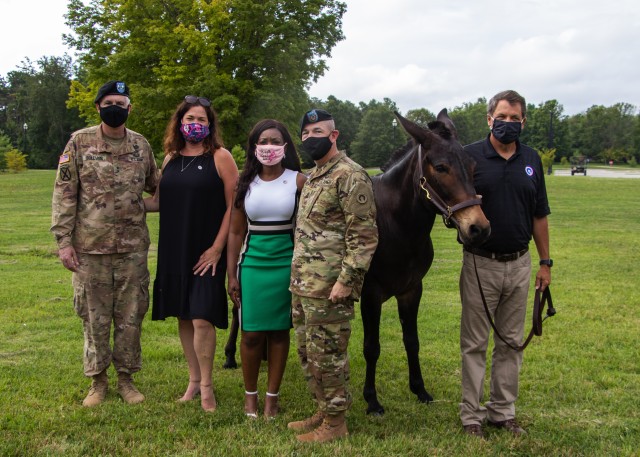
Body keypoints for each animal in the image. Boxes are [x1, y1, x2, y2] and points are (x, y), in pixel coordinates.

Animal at [360, 109, 490, 414]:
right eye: (441, 167)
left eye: (472, 165)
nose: (478, 228)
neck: (393, 224)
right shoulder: (370, 294)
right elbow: (372, 347)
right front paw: (372, 399)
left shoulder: (411, 291)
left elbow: (412, 341)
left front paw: (419, 389)